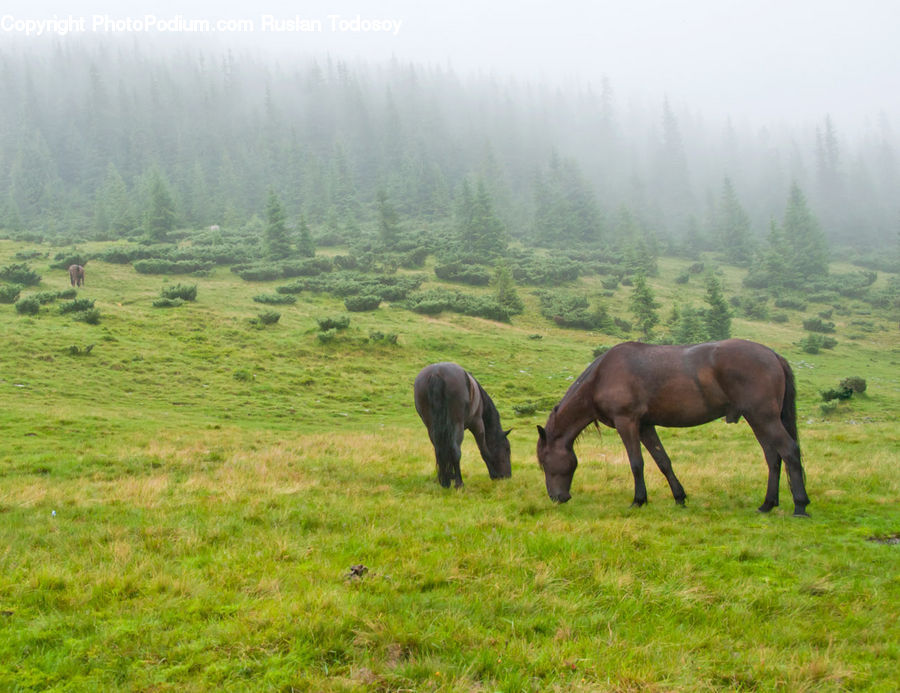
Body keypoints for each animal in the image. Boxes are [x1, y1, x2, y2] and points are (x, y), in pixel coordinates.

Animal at [536, 340, 812, 512]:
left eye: (544, 462)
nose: (557, 498)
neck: (602, 376)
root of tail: (773, 355)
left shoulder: (628, 422)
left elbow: (636, 463)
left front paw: (638, 500)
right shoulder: (645, 426)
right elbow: (663, 461)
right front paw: (679, 497)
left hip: (763, 417)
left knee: (789, 451)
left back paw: (800, 505)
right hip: (758, 419)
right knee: (773, 457)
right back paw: (767, 504)